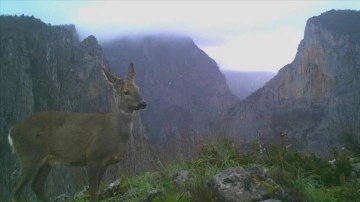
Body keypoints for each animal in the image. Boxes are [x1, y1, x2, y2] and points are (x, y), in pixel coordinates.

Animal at [8, 62, 146, 201]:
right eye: (126, 92)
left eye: (138, 88)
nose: (143, 103)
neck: (113, 133)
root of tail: (12, 131)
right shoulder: (92, 157)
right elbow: (93, 192)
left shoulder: (105, 164)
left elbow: (97, 189)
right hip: (29, 155)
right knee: (16, 190)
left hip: (46, 161)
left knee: (36, 186)